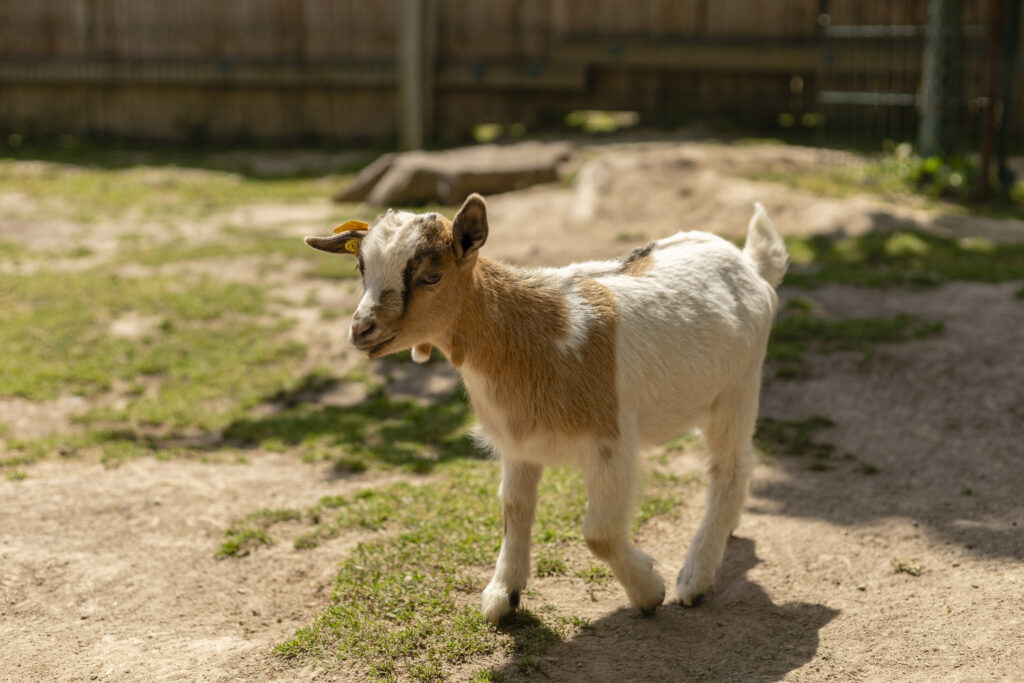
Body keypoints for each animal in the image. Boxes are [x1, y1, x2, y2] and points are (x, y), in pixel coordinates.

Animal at [305, 194, 787, 622]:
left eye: (431, 276)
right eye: (361, 269)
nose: (361, 329)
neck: (537, 333)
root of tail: (748, 262)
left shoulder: (611, 441)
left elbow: (599, 534)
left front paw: (650, 591)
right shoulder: (516, 443)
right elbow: (514, 508)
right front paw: (503, 595)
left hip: (738, 388)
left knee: (730, 468)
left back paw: (695, 578)